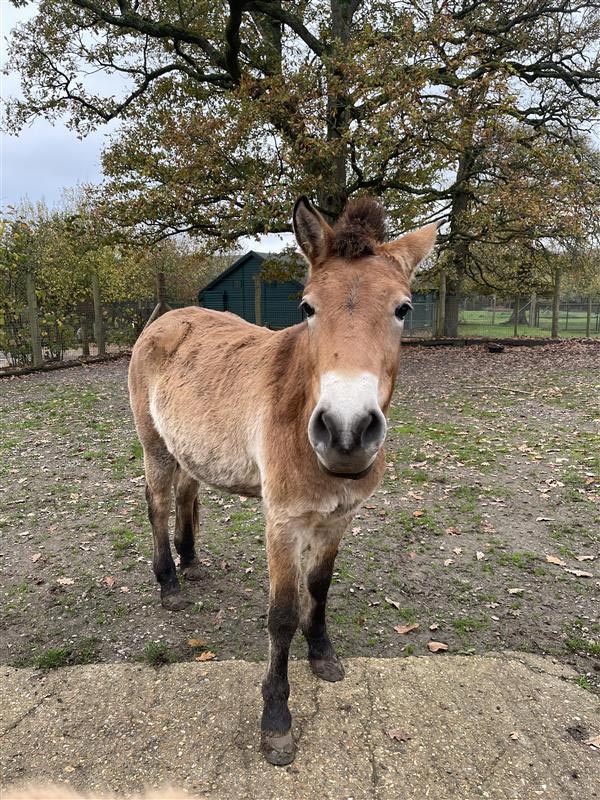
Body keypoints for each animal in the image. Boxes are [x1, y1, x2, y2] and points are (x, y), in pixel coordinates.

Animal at [128, 196, 437, 765]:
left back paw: (192, 563)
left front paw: (323, 655)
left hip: (189, 449)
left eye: (403, 308)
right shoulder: (283, 522)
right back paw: (170, 585)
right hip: (155, 446)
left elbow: (320, 588)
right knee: (157, 502)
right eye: (307, 308)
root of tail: (167, 318)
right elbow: (283, 615)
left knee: (186, 494)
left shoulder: (338, 520)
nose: (346, 430)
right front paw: (276, 720)